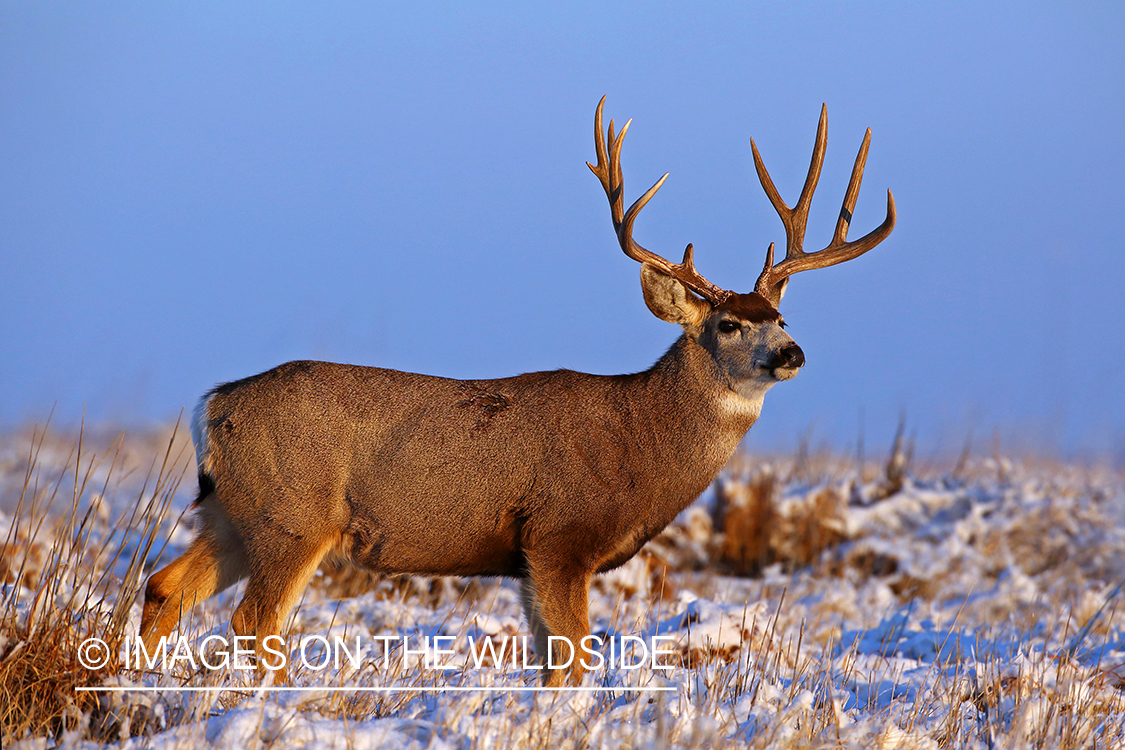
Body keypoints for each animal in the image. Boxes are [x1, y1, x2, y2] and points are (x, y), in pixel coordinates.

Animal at [142, 98, 895, 688]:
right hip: (294, 515)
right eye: (729, 324)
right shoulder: (559, 535)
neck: (640, 437)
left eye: (783, 319)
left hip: (235, 514)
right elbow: (575, 660)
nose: (793, 354)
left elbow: (550, 662)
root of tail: (212, 406)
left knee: (164, 586)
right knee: (254, 621)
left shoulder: (528, 558)